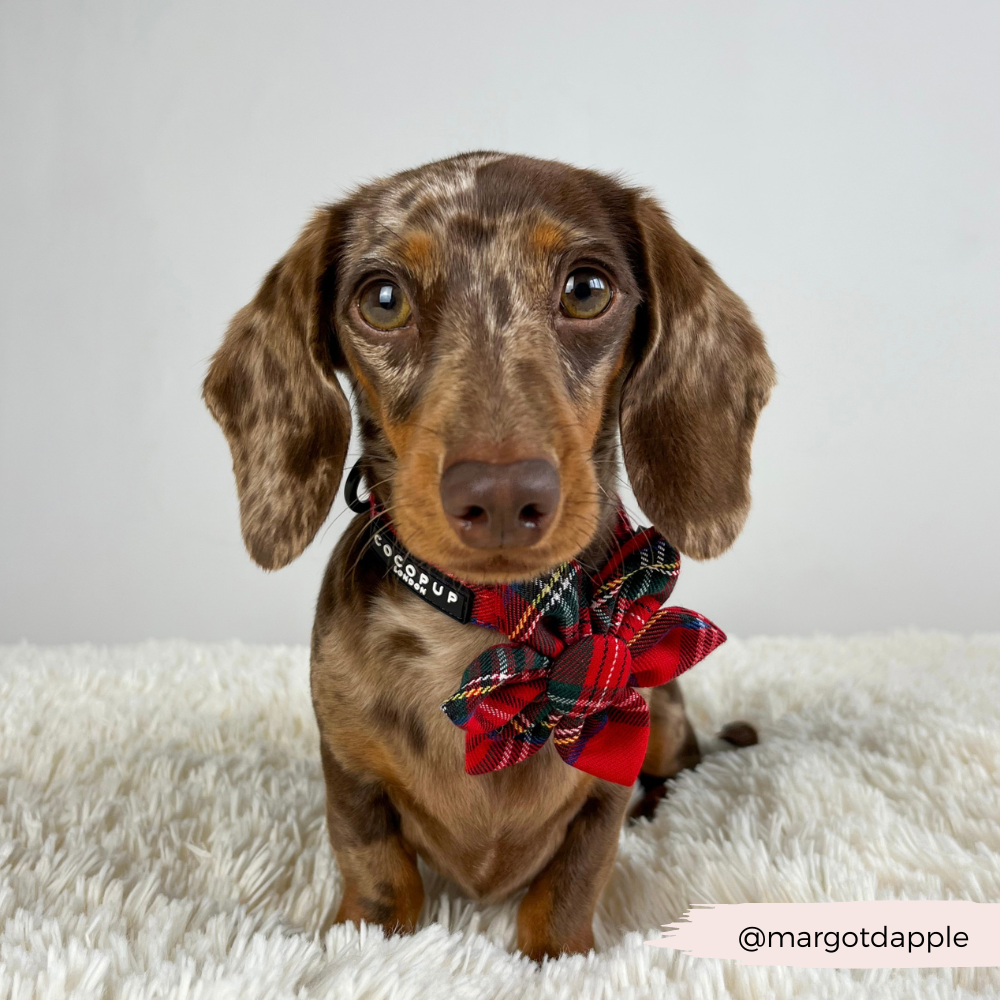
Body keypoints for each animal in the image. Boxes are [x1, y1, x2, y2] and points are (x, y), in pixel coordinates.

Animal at [203, 150, 776, 960]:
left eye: (587, 288)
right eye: (383, 299)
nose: (503, 497)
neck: (489, 635)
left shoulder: (606, 779)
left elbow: (573, 878)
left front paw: (553, 956)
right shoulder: (346, 766)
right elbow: (374, 864)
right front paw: (363, 938)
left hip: (665, 715)